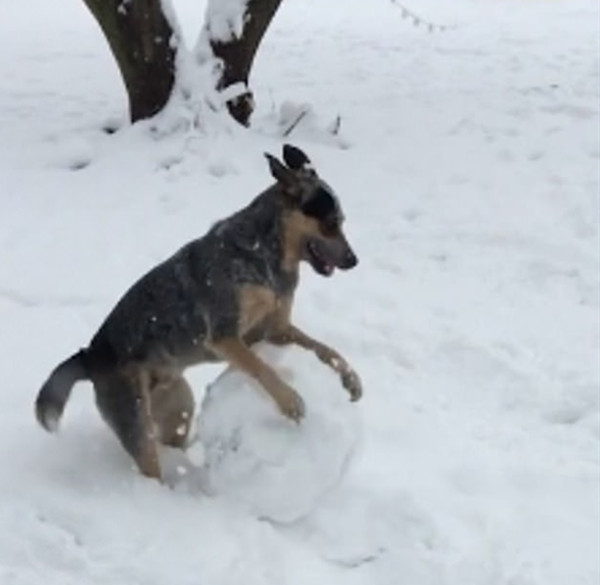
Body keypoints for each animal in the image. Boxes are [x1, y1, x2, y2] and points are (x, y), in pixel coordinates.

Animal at [35, 144, 364, 482]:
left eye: (342, 221)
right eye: (331, 223)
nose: (354, 260)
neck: (266, 254)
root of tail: (89, 355)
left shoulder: (276, 329)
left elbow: (326, 349)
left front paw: (351, 379)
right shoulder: (224, 335)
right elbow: (260, 367)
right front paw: (289, 401)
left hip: (178, 404)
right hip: (135, 418)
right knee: (148, 464)